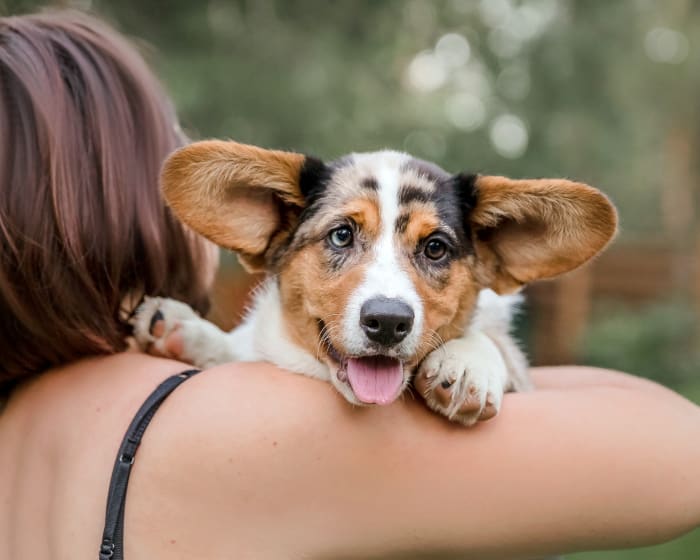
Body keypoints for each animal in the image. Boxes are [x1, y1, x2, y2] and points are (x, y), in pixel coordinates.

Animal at [130, 140, 612, 424]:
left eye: (435, 248)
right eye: (341, 234)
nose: (388, 323)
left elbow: (491, 341)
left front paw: (466, 364)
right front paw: (185, 329)